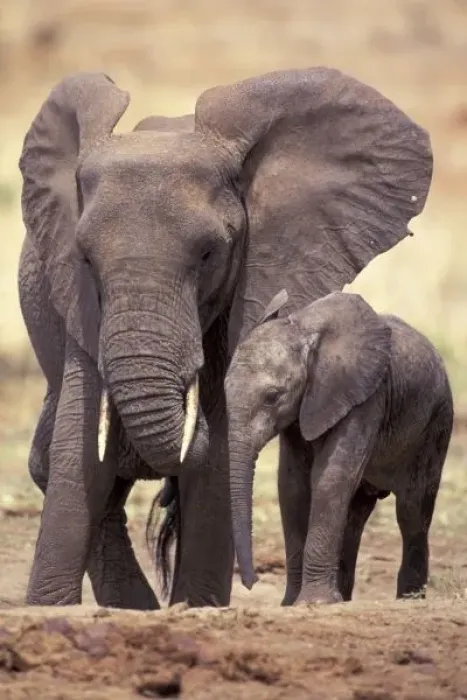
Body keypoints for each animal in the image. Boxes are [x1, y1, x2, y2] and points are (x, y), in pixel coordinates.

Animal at [223, 289, 453, 605]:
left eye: (273, 396)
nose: (251, 582)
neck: (304, 329)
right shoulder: (301, 410)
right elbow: (293, 486)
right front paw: (292, 603)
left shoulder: (367, 396)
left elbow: (331, 477)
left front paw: (314, 603)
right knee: (355, 517)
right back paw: (343, 598)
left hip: (436, 426)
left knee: (412, 511)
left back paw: (409, 599)